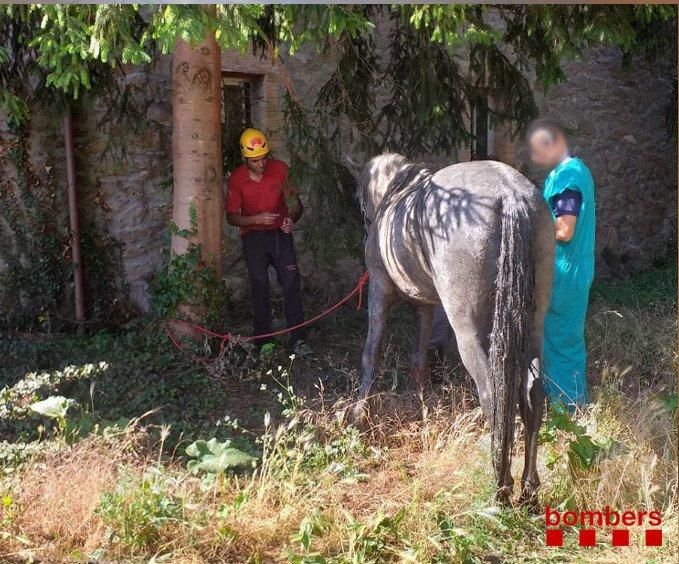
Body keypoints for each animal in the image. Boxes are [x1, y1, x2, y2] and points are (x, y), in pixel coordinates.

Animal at [358, 153, 556, 502]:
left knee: (494, 398)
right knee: (534, 394)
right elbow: (419, 360)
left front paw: (358, 413)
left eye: (359, 201)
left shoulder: (379, 290)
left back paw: (500, 489)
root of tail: (511, 195)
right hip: (533, 328)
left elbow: (372, 352)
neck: (395, 193)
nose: (365, 225)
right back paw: (529, 490)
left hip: (469, 334)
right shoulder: (424, 305)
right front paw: (424, 410)